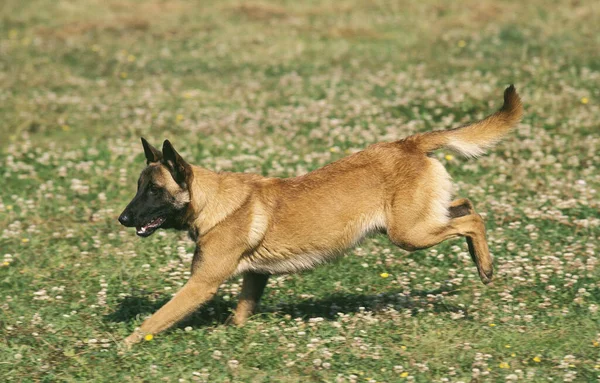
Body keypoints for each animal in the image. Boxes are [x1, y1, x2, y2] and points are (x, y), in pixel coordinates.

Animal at [119, 85, 524, 346]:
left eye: (153, 190)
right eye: (139, 186)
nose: (122, 219)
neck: (211, 203)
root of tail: (408, 143)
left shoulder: (201, 284)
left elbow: (156, 318)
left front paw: (124, 345)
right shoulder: (255, 276)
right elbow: (242, 311)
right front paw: (233, 335)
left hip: (410, 234)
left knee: (472, 220)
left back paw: (486, 268)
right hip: (420, 223)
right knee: (467, 206)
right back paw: (480, 260)